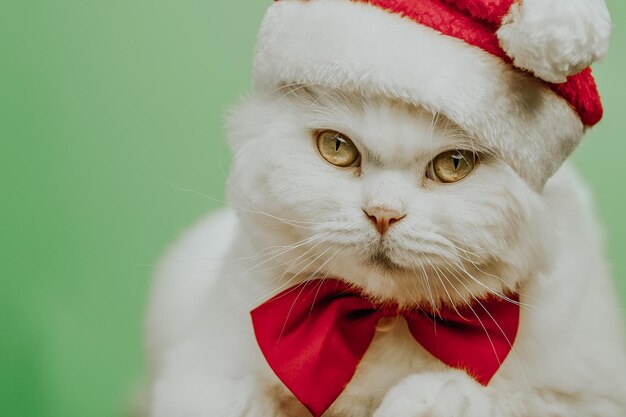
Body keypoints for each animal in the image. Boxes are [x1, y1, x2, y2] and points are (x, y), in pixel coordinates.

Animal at [144, 85, 624, 416]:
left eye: (454, 165)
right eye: (337, 147)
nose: (383, 214)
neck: (380, 319)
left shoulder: (591, 396)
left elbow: (496, 396)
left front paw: (424, 398)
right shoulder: (199, 373)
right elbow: (238, 397)